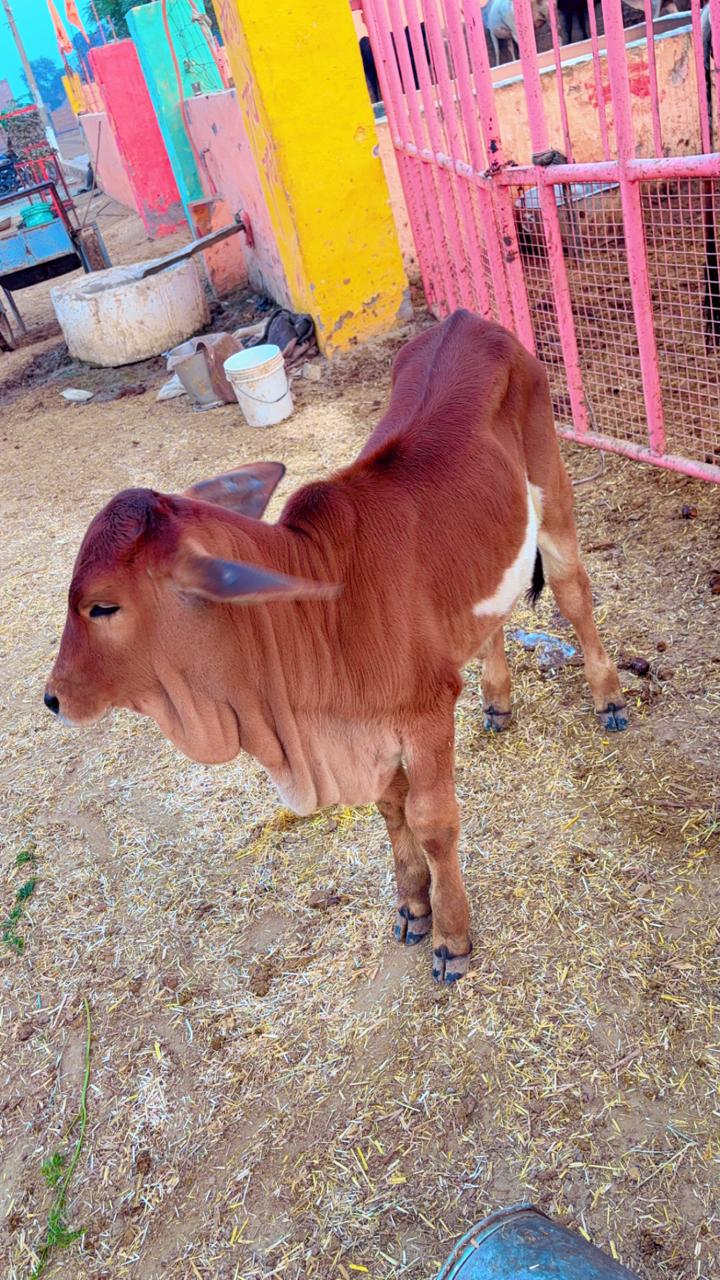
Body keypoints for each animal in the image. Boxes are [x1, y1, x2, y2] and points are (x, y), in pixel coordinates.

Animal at [44, 312, 627, 984]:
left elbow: (432, 820)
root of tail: (464, 319)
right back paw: (498, 701)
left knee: (574, 593)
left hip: (551, 492)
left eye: (102, 606)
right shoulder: (365, 734)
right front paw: (413, 907)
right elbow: (391, 812)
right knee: (494, 619)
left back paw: (609, 698)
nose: (53, 698)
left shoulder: (425, 717)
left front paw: (451, 937)